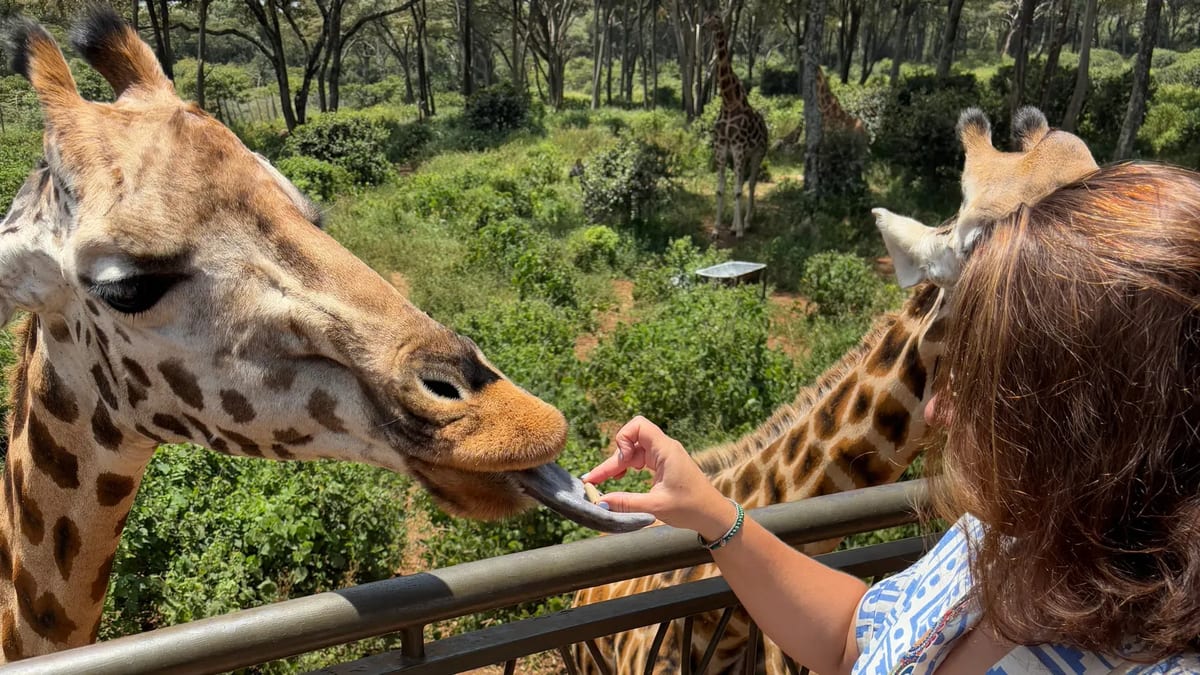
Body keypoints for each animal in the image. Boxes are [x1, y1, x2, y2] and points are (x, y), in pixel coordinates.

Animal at [705, 14, 768, 240]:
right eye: (706, 17)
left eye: (715, 18)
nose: (703, 26)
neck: (729, 100)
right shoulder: (722, 148)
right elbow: (722, 189)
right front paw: (717, 229)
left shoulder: (739, 148)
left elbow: (738, 190)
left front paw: (740, 230)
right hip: (742, 156)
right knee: (739, 182)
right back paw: (733, 226)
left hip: (757, 153)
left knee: (750, 183)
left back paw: (746, 223)